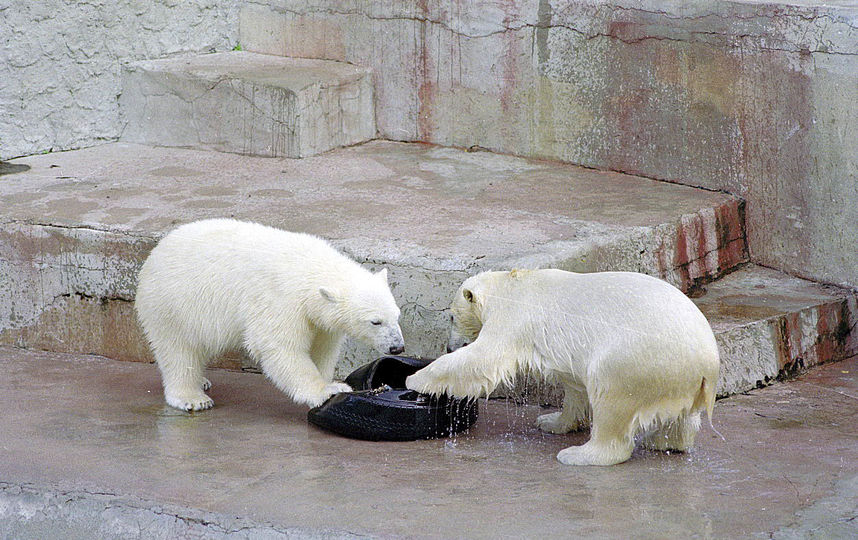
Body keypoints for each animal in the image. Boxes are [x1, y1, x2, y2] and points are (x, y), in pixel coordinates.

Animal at [136, 217, 404, 412]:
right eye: (375, 321)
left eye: (397, 316)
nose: (397, 347)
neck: (309, 267)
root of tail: (153, 255)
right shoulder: (281, 299)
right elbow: (280, 347)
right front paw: (328, 390)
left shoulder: (319, 319)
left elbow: (322, 348)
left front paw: (328, 380)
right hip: (175, 304)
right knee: (179, 350)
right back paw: (193, 397)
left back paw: (202, 380)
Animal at [404, 268, 720, 464]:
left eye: (451, 317)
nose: (449, 347)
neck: (512, 283)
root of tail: (708, 363)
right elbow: (575, 386)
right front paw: (552, 421)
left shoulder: (513, 315)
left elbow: (483, 358)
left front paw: (416, 379)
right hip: (678, 377)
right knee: (681, 415)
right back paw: (664, 442)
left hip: (636, 359)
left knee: (611, 399)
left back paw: (579, 455)